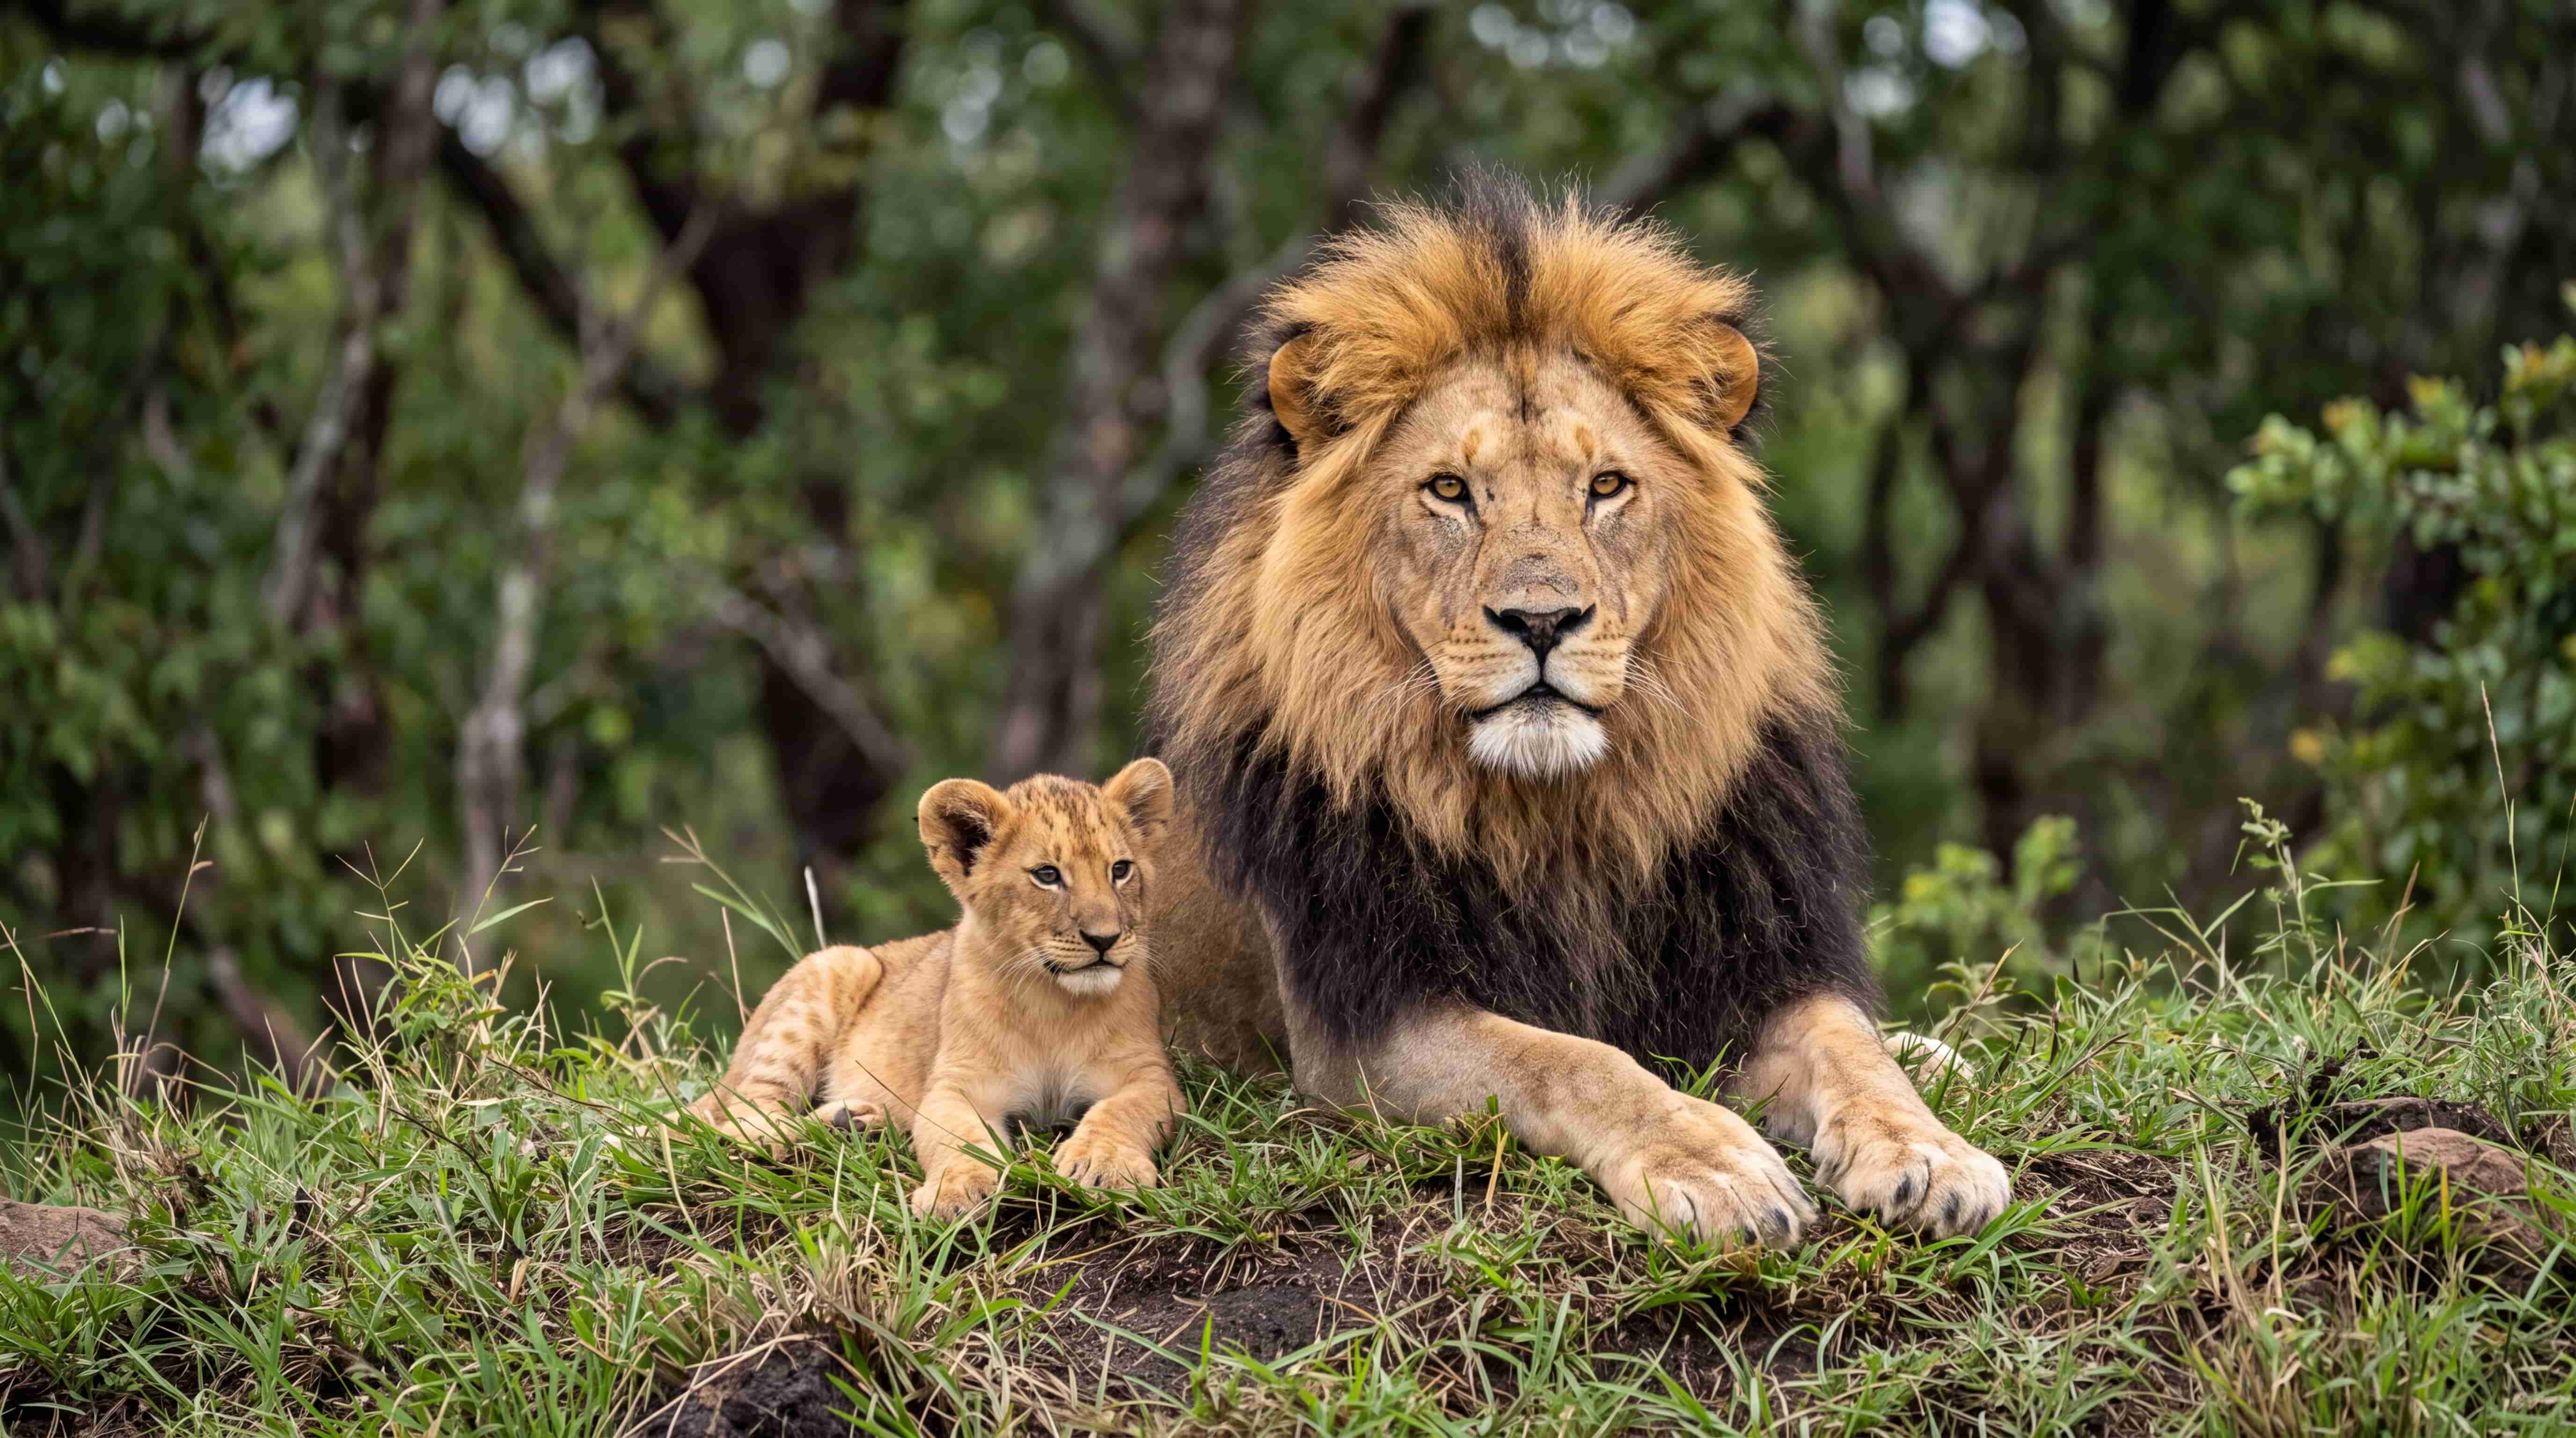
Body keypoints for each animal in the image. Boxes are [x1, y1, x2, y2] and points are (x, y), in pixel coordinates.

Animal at [681, 760, 1185, 1218]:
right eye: (1047, 875)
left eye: (1120, 870)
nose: (1105, 939)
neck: (1053, 1002)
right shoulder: (954, 1086)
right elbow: (958, 1138)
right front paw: (956, 1192)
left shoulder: (1149, 1076)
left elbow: (1120, 1112)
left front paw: (1103, 1165)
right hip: (837, 966)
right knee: (741, 1114)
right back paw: (791, 1133)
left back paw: (856, 1123)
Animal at [1144, 175, 2011, 1244]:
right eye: (1448, 490)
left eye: (1604, 486)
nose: (1541, 619)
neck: (1562, 817)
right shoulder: (1363, 1032)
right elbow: (1571, 1060)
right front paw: (1715, 1164)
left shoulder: (1754, 962)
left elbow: (1850, 1043)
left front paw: (1928, 1151)